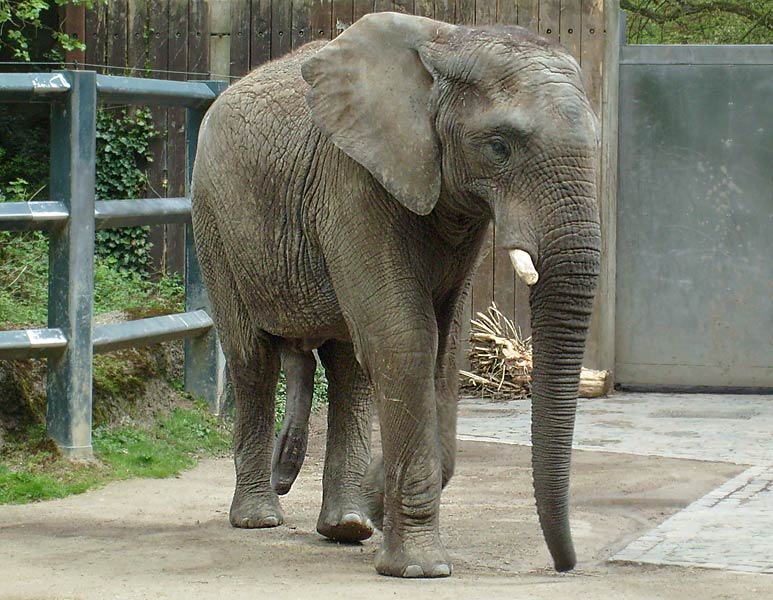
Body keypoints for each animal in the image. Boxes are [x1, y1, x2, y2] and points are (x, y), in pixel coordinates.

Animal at [190, 11, 600, 580]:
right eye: (498, 146)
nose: (564, 566)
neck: (450, 41)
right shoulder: (353, 183)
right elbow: (405, 339)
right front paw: (420, 569)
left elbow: (444, 349)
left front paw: (376, 509)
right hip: (214, 220)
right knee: (253, 358)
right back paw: (258, 519)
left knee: (349, 367)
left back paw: (346, 526)